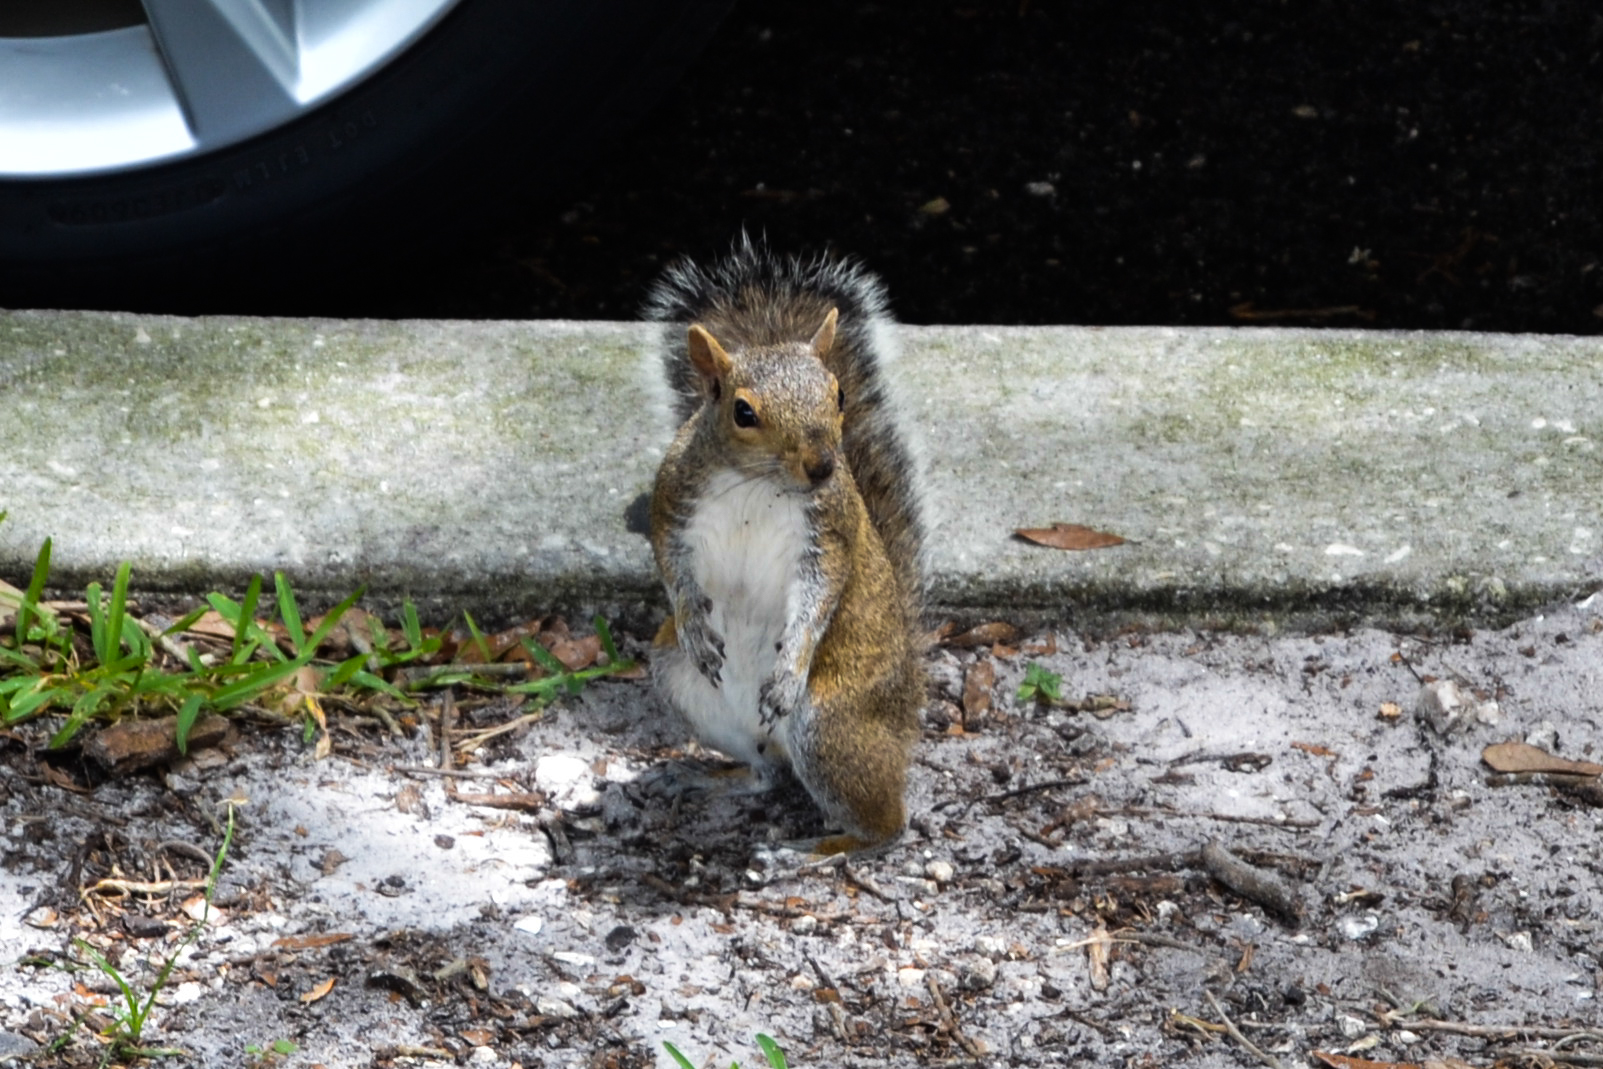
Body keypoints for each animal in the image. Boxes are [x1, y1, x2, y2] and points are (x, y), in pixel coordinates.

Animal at [643, 235, 926, 855]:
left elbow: (819, 598)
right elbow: (672, 569)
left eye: (839, 393)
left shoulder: (828, 536)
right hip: (681, 686)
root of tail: (906, 708)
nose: (822, 465)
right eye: (743, 412)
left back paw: (811, 853)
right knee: (765, 774)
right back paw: (711, 777)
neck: (757, 486)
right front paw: (695, 626)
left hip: (829, 726)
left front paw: (787, 670)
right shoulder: (672, 508)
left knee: (888, 828)